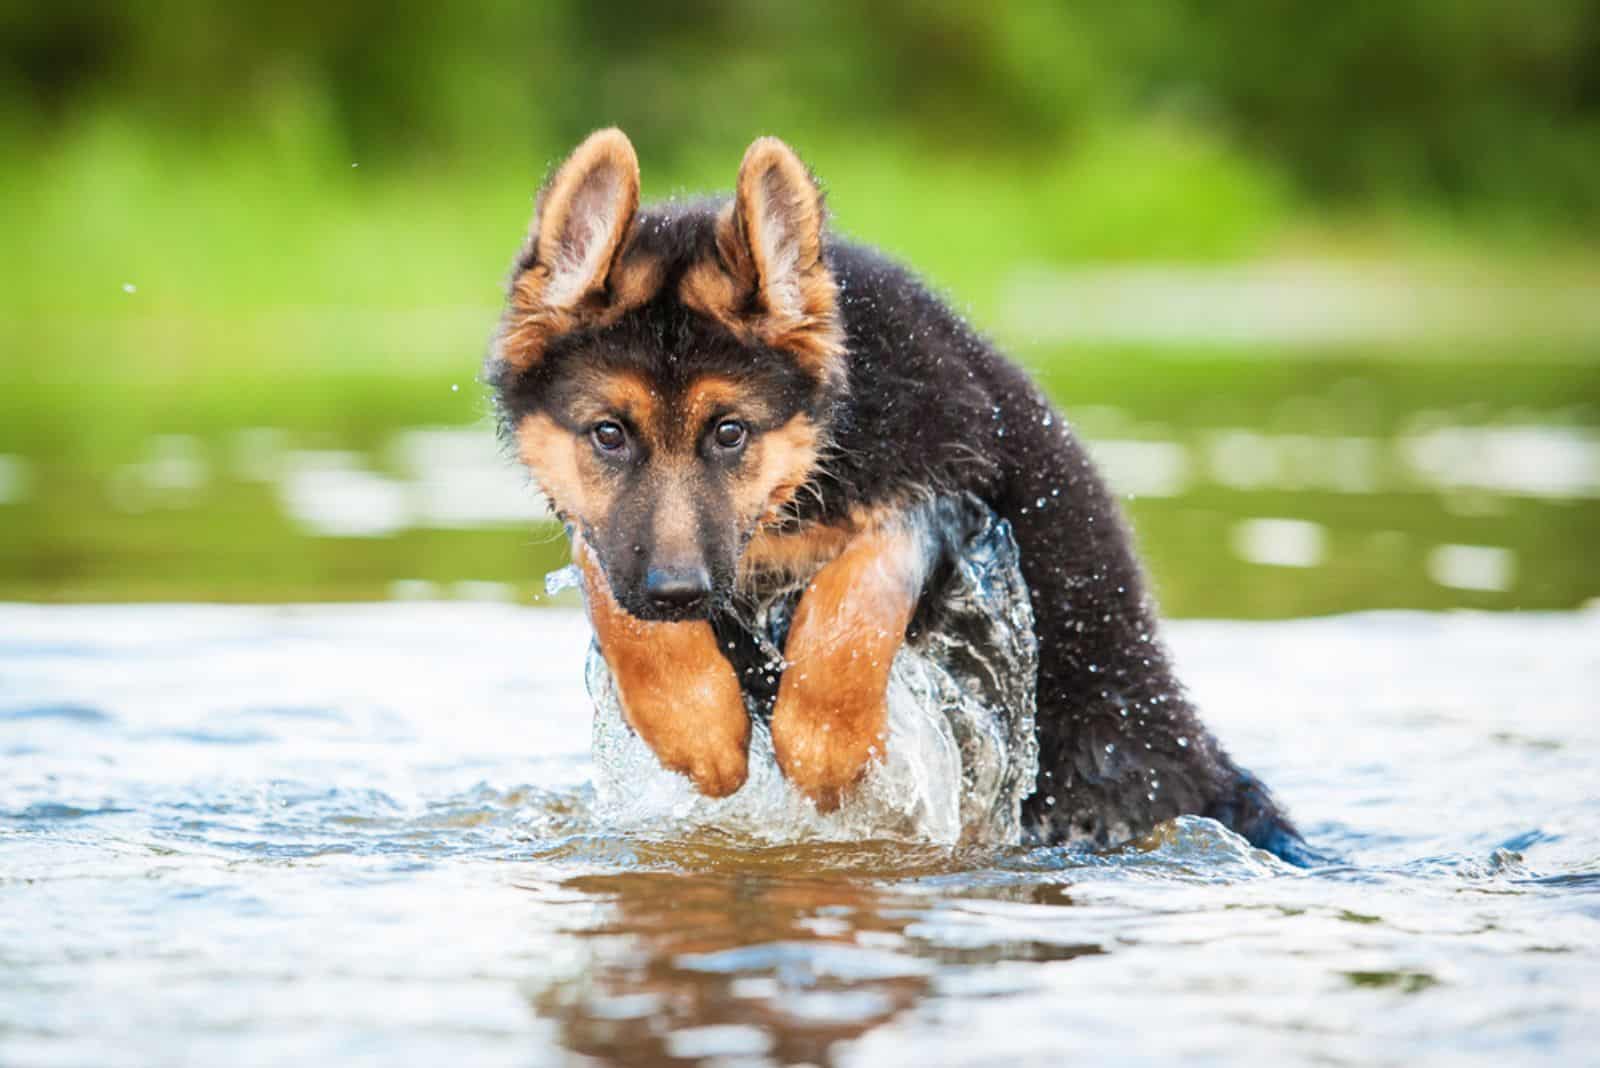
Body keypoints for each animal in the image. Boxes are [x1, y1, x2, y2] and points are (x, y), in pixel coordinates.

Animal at [483, 127, 1299, 856]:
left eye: (730, 433)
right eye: (608, 435)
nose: (678, 592)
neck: (819, 457)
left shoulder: (954, 499)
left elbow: (855, 600)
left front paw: (822, 749)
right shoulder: (609, 538)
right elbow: (624, 609)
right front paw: (697, 729)